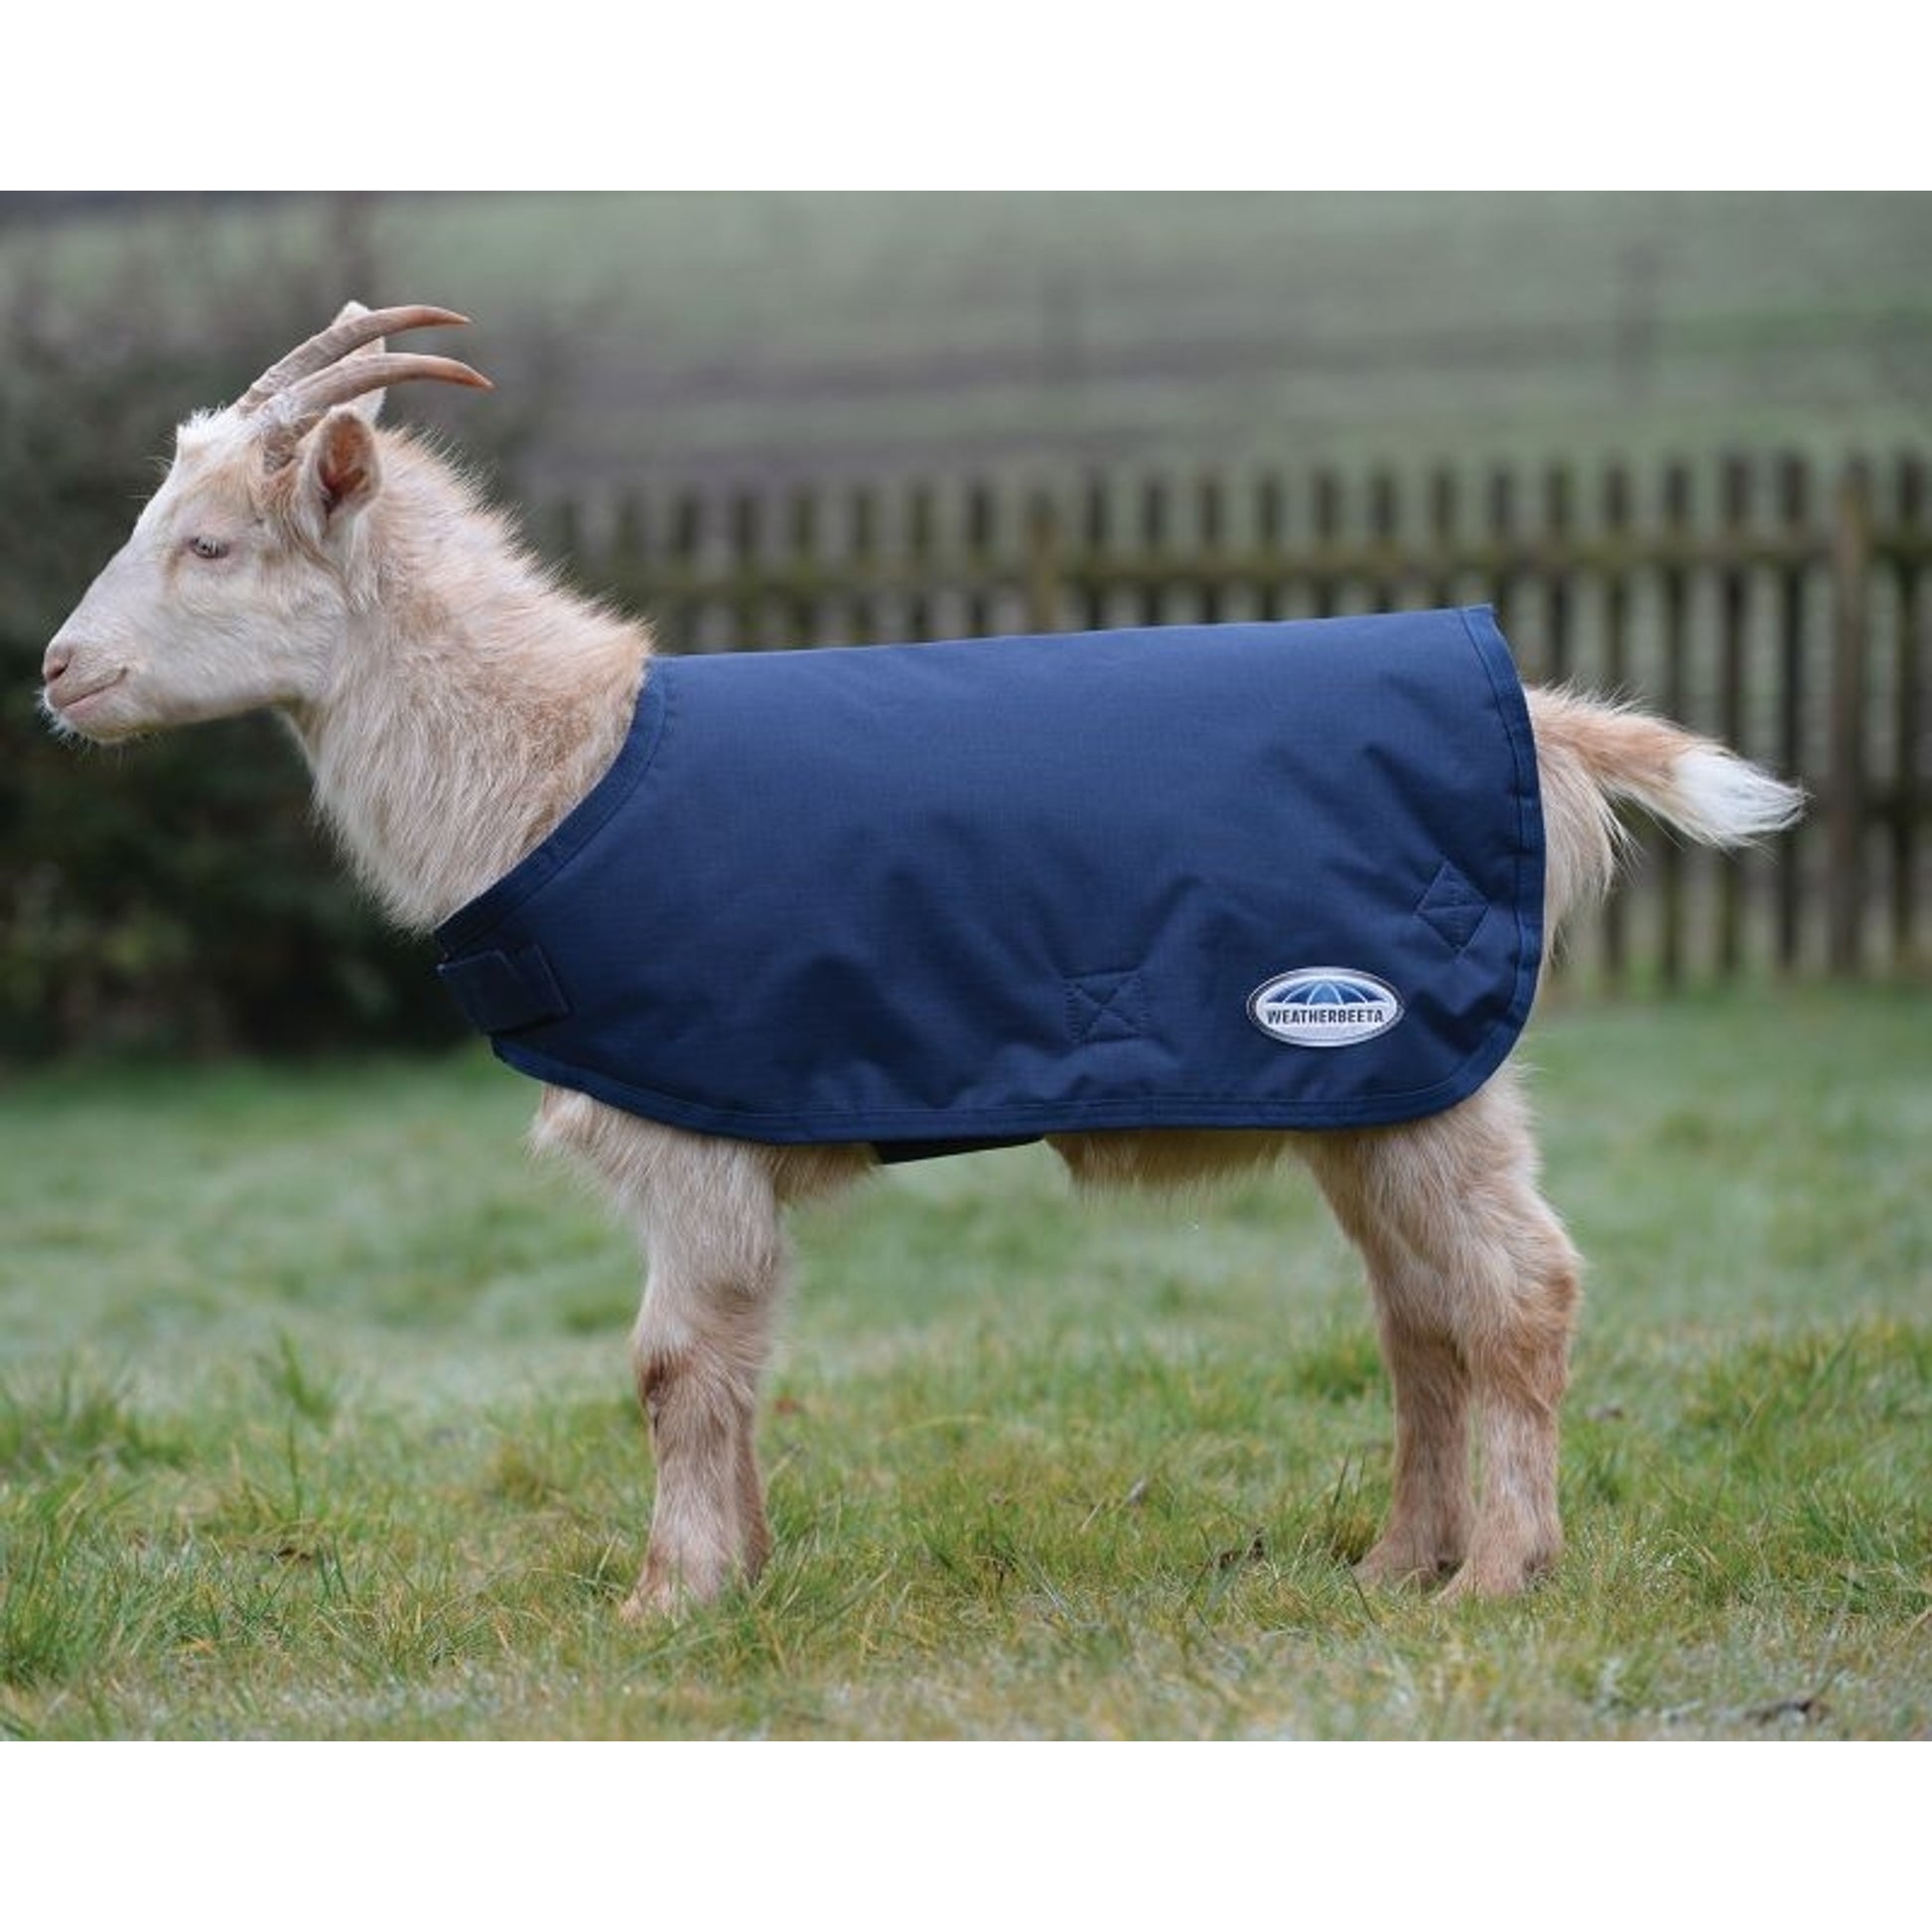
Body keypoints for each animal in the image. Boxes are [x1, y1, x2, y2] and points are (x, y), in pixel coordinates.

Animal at [41, 304, 1804, 1616]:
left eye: (209, 545)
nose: (59, 670)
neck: (560, 765)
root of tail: (1542, 719)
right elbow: (736, 1361)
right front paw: (741, 1575)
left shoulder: (686, 1130)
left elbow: (672, 1364)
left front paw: (663, 1602)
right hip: (1374, 1089)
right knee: (1415, 1316)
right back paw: (1391, 1563)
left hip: (1422, 1064)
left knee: (1516, 1291)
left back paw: (1497, 1577)